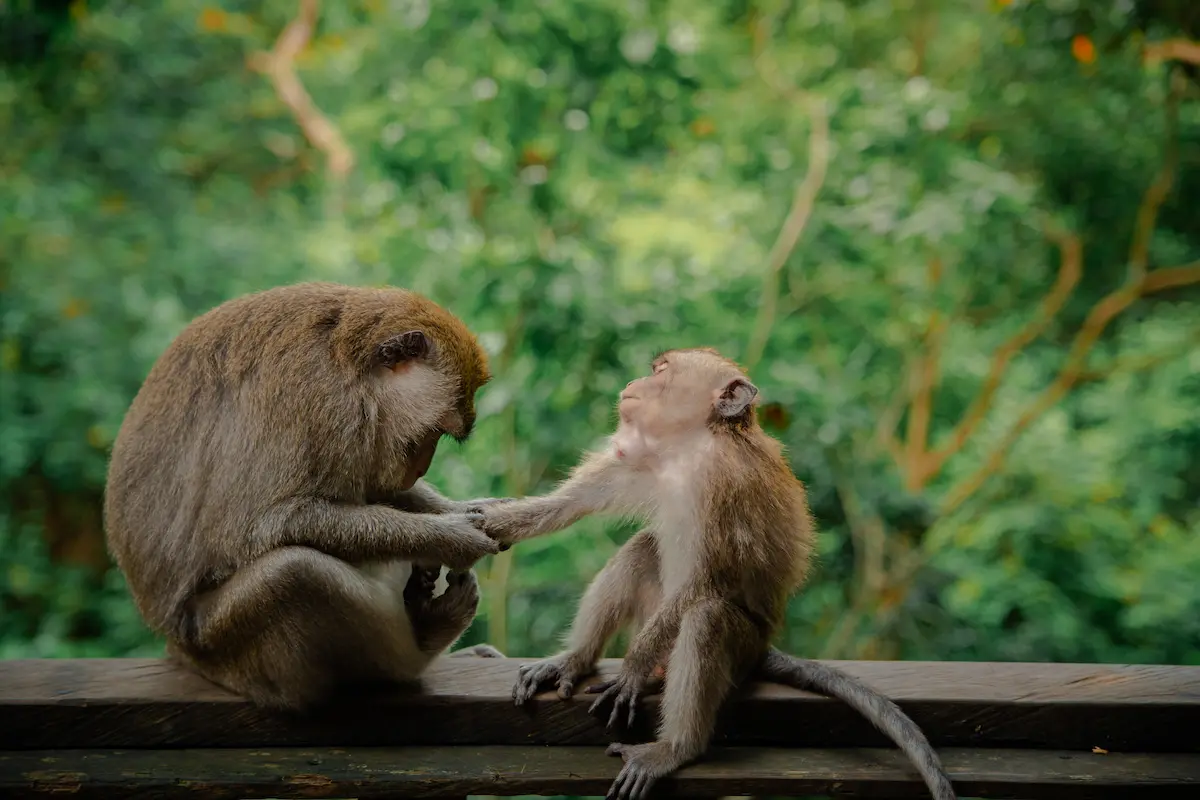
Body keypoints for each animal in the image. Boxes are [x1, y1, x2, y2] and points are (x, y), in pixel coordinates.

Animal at [104, 282, 510, 712]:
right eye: (432, 432)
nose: (420, 469)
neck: (348, 363)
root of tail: (174, 645)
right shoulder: (320, 401)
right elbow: (269, 524)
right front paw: (451, 537)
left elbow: (377, 491)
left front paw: (462, 510)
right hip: (219, 646)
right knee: (293, 573)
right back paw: (422, 642)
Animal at [481, 347, 956, 800]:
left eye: (661, 371)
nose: (635, 383)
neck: (691, 447)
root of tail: (764, 645)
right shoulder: (644, 460)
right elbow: (564, 507)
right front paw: (486, 522)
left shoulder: (725, 483)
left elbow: (706, 583)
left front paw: (633, 668)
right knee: (642, 550)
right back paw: (576, 660)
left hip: (741, 646)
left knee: (706, 617)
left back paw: (675, 748)